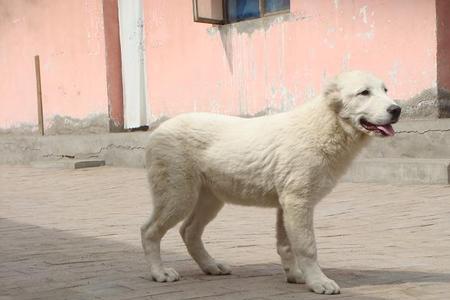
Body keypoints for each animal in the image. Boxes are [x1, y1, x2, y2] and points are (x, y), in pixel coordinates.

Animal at [142, 71, 400, 296]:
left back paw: (211, 266)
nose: (397, 109)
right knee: (149, 231)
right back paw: (160, 273)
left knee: (189, 231)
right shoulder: (298, 201)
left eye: (386, 90)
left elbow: (286, 245)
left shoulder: (287, 204)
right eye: (364, 92)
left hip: (210, 200)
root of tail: (156, 131)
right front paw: (319, 282)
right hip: (178, 197)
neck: (327, 125)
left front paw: (296, 276)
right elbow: (307, 247)